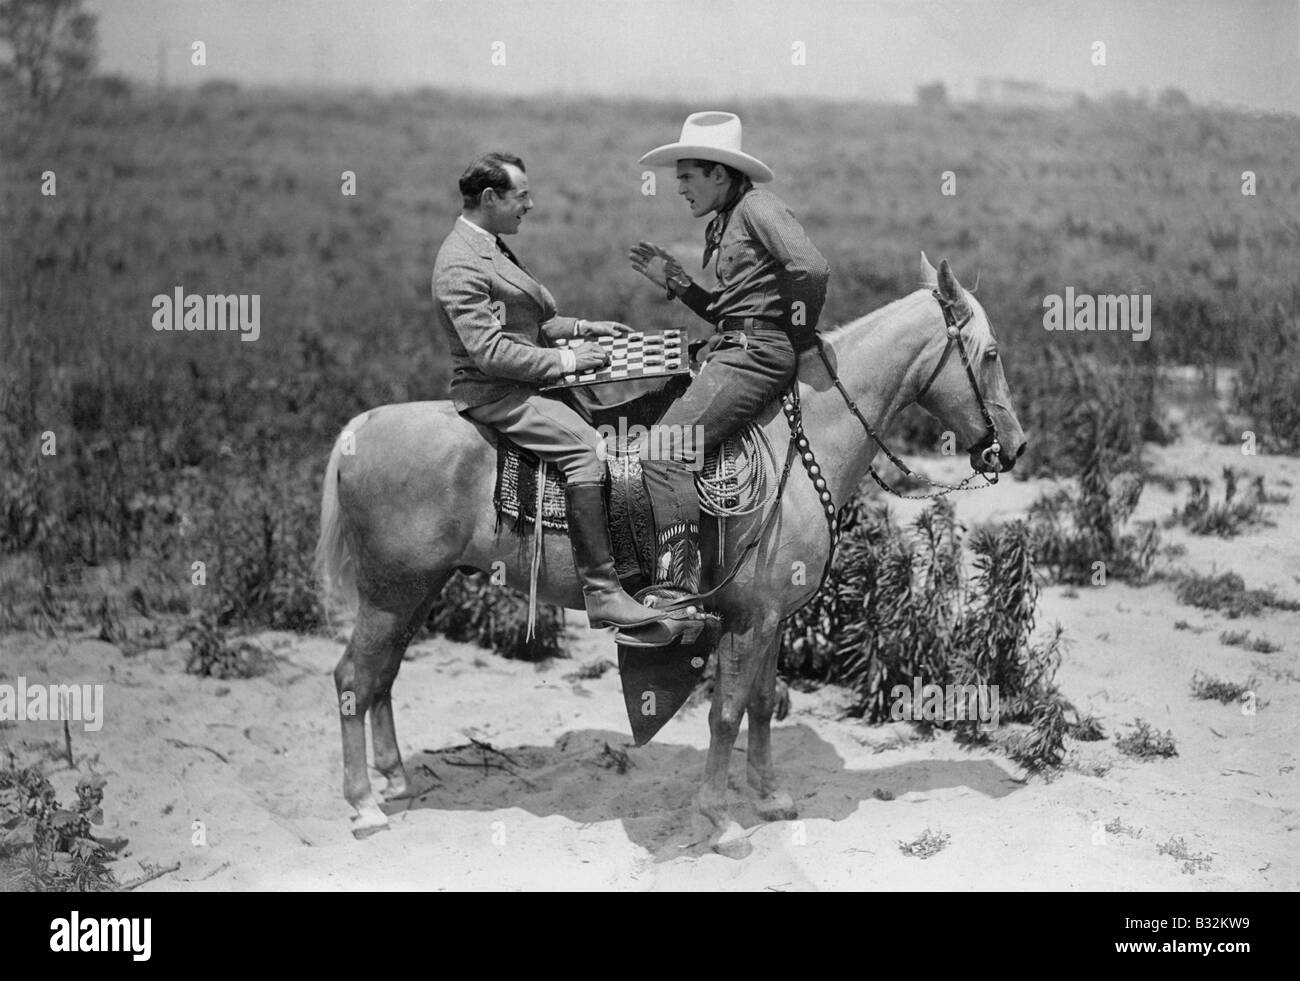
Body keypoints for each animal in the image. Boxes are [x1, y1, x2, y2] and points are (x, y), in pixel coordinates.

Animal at [317, 257, 1024, 857]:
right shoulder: (751, 619)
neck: (796, 444)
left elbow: (762, 705)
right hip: (391, 591)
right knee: (353, 679)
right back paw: (365, 806)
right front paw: (720, 822)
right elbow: (725, 714)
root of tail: (361, 427)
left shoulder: (770, 617)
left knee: (382, 677)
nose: (1013, 448)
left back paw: (396, 780)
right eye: (990, 353)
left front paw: (769, 798)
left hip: (418, 589)